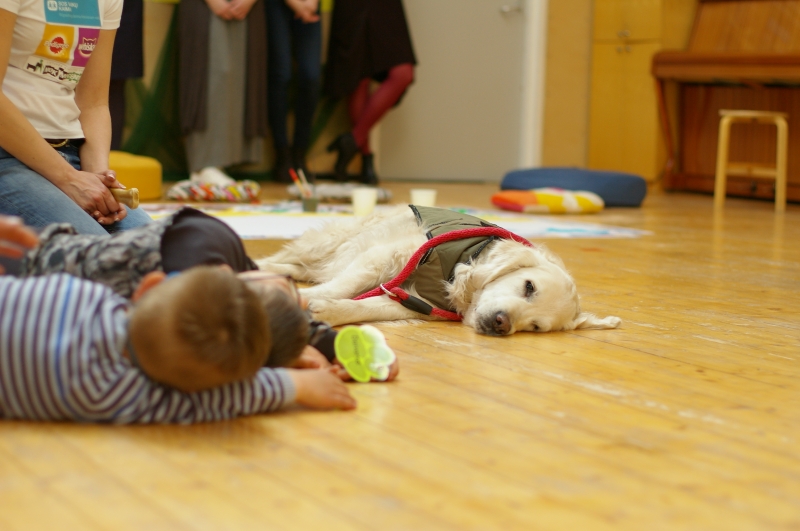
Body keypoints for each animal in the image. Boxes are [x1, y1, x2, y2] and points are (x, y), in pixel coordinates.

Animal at [260, 206, 620, 334]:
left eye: (534, 328)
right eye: (528, 286)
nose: (501, 324)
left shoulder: (414, 302)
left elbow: (362, 305)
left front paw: (328, 311)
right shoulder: (384, 257)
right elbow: (340, 287)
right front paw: (305, 298)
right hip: (327, 244)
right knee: (290, 259)